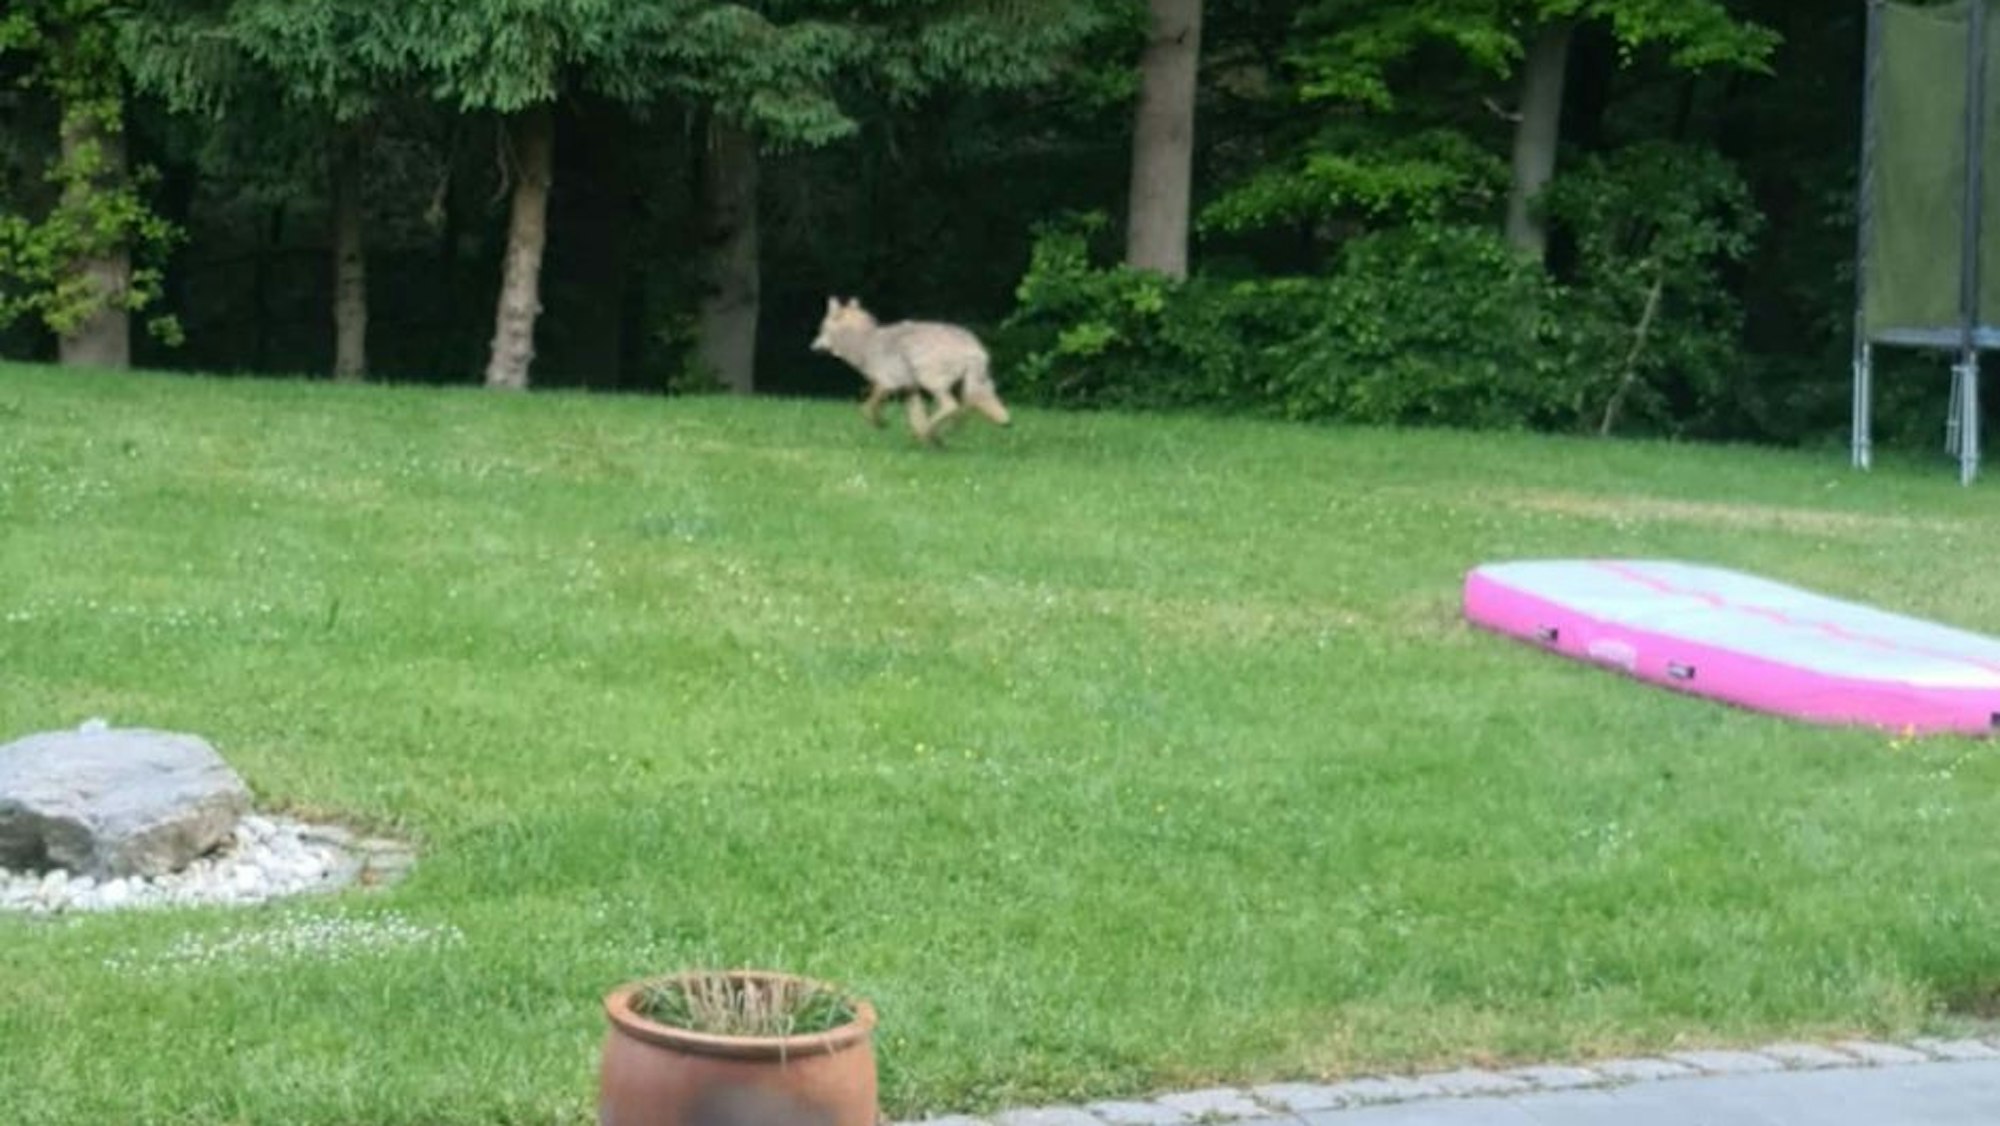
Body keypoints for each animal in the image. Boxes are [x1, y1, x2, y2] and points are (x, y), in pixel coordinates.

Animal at [810, 296, 1012, 444]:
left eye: (821, 329)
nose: (811, 347)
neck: (864, 341)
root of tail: (974, 347)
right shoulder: (910, 390)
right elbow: (916, 418)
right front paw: (928, 441)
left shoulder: (886, 385)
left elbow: (867, 409)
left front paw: (883, 424)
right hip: (975, 388)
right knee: (970, 410)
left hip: (933, 383)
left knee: (951, 406)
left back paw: (931, 431)